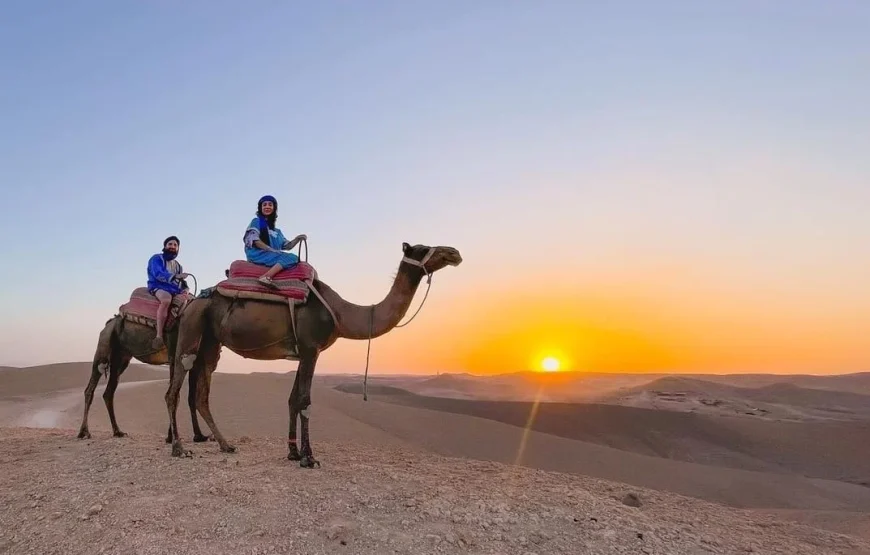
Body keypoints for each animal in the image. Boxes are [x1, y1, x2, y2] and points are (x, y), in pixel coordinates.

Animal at [77, 306, 210, 444]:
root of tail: (108, 324)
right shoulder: (175, 355)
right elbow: (175, 395)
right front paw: (171, 437)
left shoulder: (193, 361)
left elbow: (190, 398)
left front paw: (199, 435)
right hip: (104, 345)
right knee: (90, 388)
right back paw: (84, 432)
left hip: (121, 358)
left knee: (108, 392)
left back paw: (118, 431)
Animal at [165, 242, 462, 467]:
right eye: (422, 248)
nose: (454, 253)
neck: (341, 313)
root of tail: (193, 300)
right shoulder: (311, 349)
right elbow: (305, 401)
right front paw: (309, 458)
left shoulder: (303, 352)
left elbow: (293, 400)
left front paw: (293, 452)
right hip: (192, 327)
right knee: (175, 386)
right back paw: (179, 448)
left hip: (210, 341)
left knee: (202, 391)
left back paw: (226, 445)